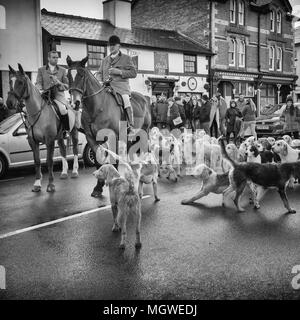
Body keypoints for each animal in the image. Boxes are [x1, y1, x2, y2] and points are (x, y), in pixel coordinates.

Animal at [8, 63, 80, 191]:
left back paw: (75, 171)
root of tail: (71, 104)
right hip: (60, 136)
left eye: (20, 82)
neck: (38, 113)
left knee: (75, 149)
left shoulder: (49, 140)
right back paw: (64, 172)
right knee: (63, 150)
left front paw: (50, 184)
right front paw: (37, 183)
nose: (9, 103)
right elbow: (37, 161)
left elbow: (49, 161)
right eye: (9, 82)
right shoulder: (33, 141)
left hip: (74, 132)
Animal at [65, 56, 150, 196]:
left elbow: (112, 161)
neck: (97, 107)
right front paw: (98, 187)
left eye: (82, 75)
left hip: (144, 132)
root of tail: (144, 98)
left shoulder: (112, 137)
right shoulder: (91, 138)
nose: (74, 103)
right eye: (67, 76)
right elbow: (99, 161)